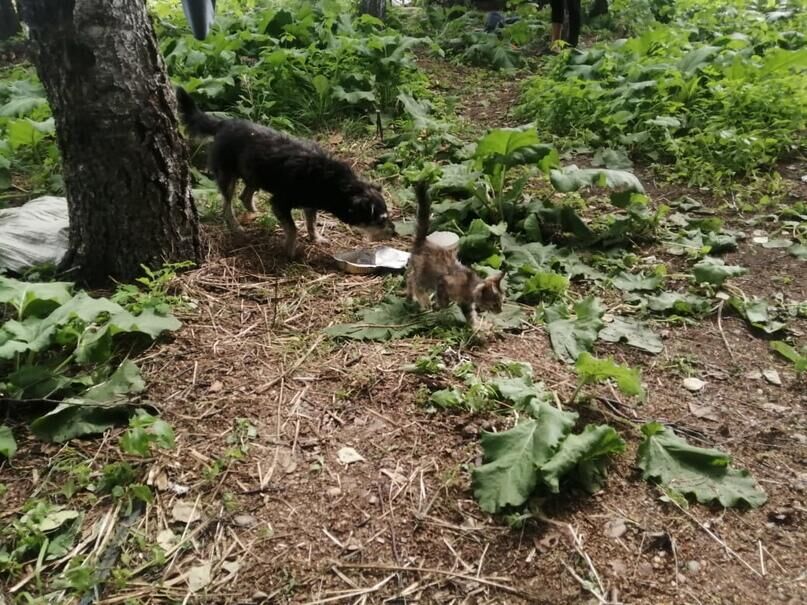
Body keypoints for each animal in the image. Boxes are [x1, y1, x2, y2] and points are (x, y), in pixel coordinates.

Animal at [177, 87, 394, 255]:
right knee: (227, 206)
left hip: (254, 174)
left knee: (245, 196)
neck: (331, 182)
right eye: (380, 220)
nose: (395, 232)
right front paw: (290, 250)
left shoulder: (309, 204)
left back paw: (254, 212)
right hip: (227, 176)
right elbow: (293, 229)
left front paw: (316, 238)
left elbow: (311, 223)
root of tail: (223, 123)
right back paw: (237, 228)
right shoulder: (280, 203)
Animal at [404, 182, 504, 328]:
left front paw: (477, 327)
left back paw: (411, 298)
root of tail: (423, 241)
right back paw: (423, 299)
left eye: (502, 301)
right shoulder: (443, 282)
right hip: (424, 274)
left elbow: (470, 315)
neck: (470, 286)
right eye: (495, 304)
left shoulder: (467, 303)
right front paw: (442, 306)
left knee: (411, 279)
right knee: (412, 280)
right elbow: (443, 300)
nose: (500, 311)